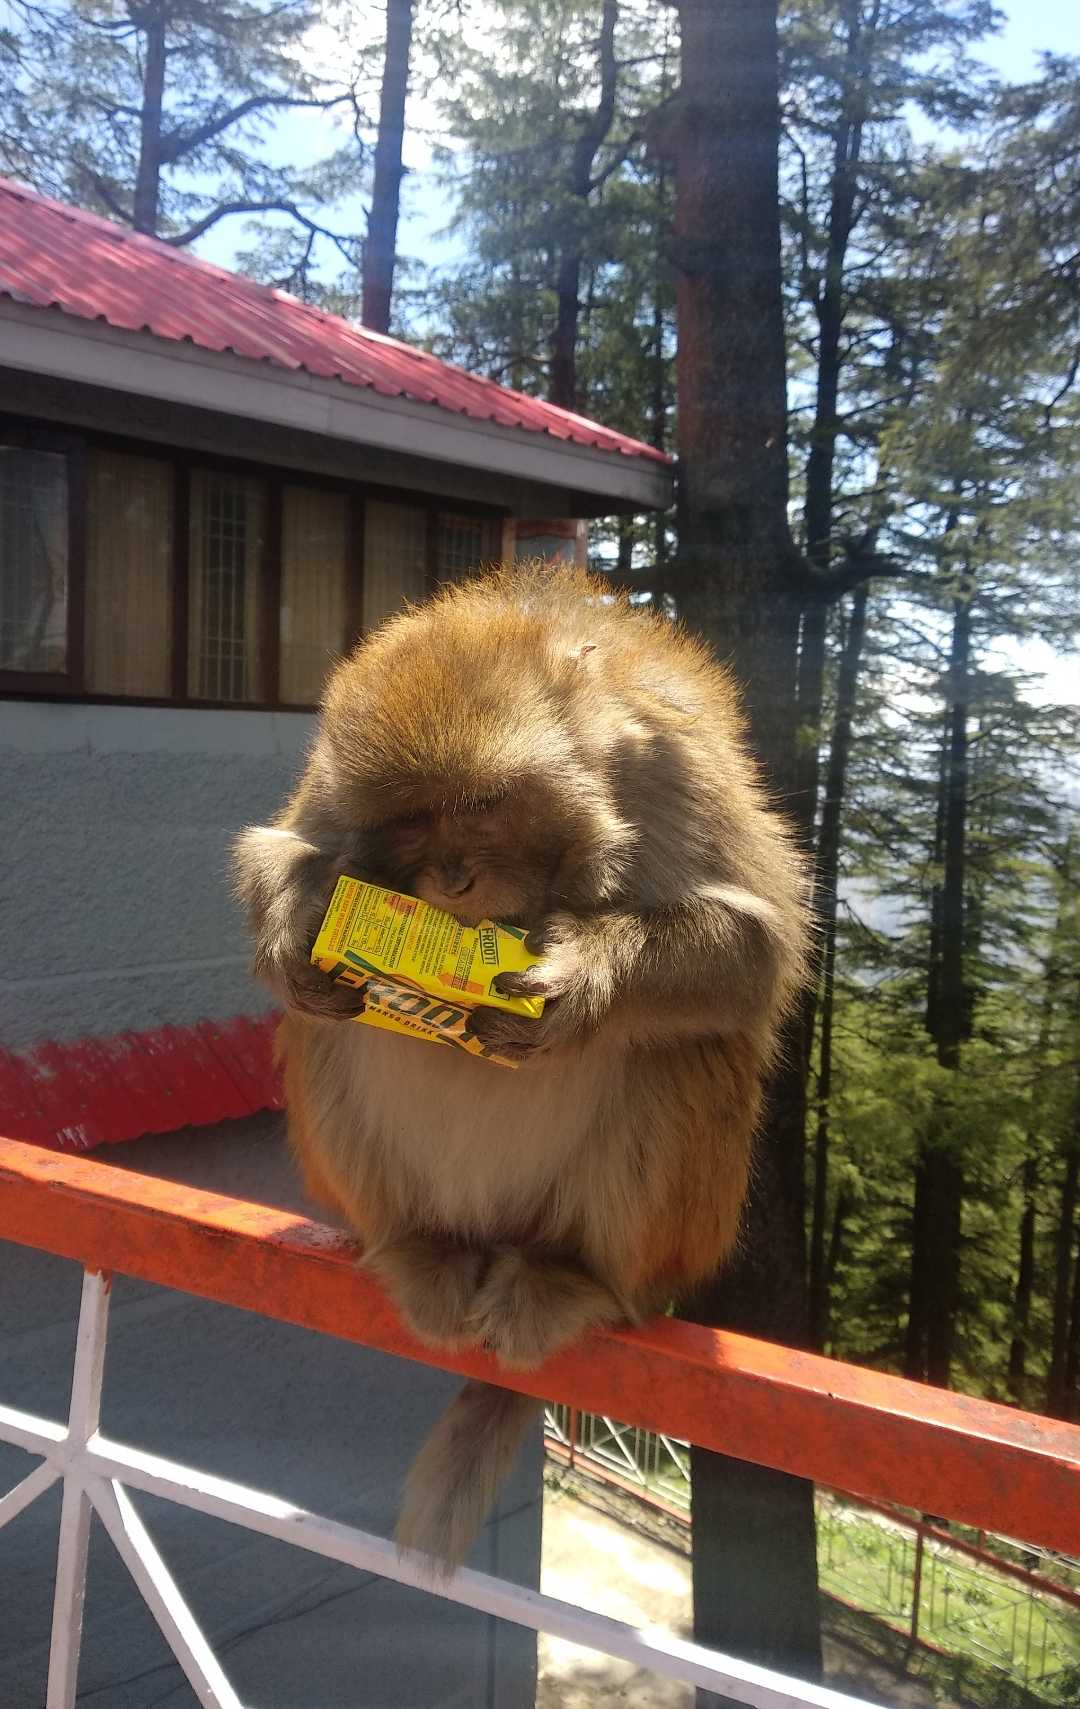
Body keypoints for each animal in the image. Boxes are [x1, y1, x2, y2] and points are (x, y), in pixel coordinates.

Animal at [232, 564, 809, 1572]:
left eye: (483, 805)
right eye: (413, 818)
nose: (454, 879)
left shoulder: (670, 771)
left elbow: (757, 950)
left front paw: (584, 978)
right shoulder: (339, 787)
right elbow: (285, 850)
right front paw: (302, 918)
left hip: (668, 1244)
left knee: (684, 1051)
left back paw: (576, 1278)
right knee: (326, 1034)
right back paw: (421, 1244)